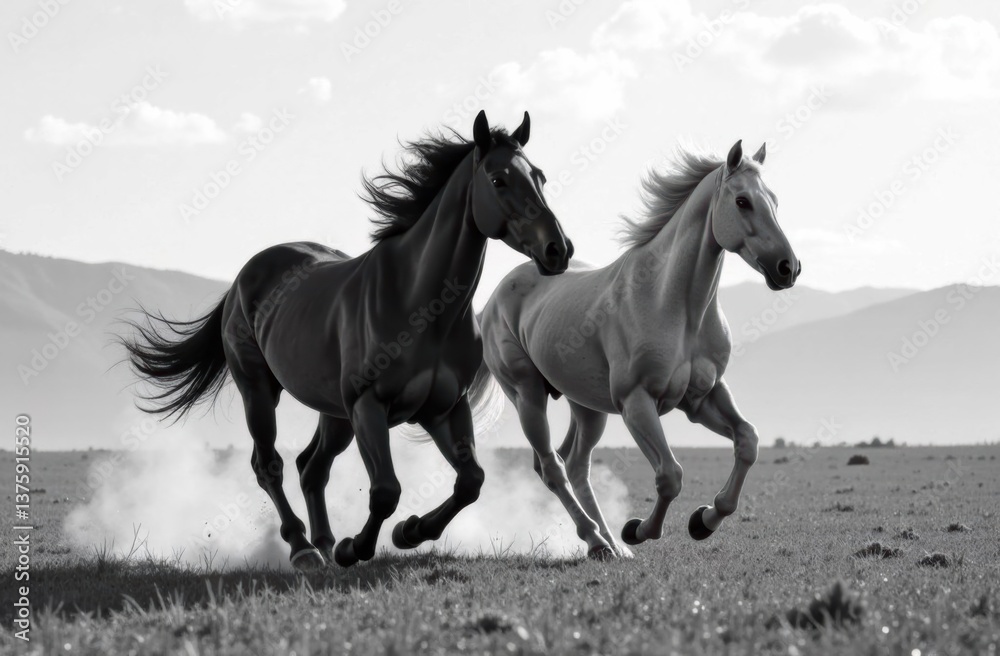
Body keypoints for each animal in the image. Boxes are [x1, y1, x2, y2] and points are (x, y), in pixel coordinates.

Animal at [123, 110, 574, 570]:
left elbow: (471, 482)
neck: (422, 304)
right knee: (270, 465)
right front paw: (356, 547)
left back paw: (323, 542)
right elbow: (386, 491)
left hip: (334, 414)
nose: (558, 250)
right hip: (260, 391)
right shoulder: (369, 407)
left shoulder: (444, 408)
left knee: (311, 467)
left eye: (539, 177)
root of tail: (243, 278)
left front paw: (410, 531)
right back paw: (304, 548)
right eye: (499, 179)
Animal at [475, 140, 800, 557]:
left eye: (773, 200)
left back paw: (611, 546)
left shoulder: (703, 397)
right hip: (527, 395)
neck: (673, 304)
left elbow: (748, 442)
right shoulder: (637, 403)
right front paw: (640, 529)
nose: (788, 267)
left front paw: (704, 520)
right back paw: (599, 540)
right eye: (742, 201)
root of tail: (492, 301)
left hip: (587, 407)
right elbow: (670, 476)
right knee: (551, 467)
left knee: (575, 464)